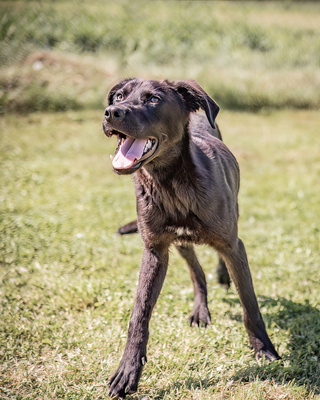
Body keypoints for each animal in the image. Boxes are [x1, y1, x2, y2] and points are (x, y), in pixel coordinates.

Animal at [102, 78, 278, 396]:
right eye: (119, 96)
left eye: (153, 99)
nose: (111, 113)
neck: (170, 183)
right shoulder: (155, 250)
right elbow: (139, 315)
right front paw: (128, 371)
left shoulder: (233, 245)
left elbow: (249, 303)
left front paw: (264, 349)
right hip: (181, 244)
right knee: (197, 273)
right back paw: (201, 309)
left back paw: (222, 276)